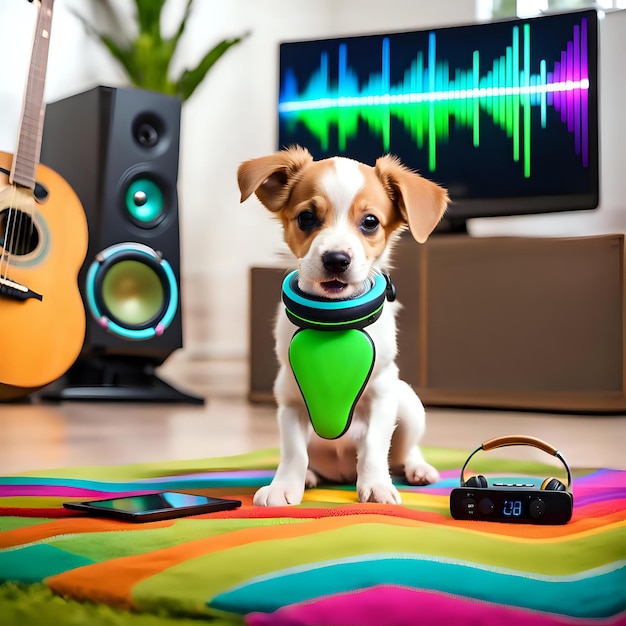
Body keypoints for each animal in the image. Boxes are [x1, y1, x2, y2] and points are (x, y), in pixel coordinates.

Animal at [236, 147, 446, 508]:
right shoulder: (289, 401)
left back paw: (418, 469)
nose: (336, 259)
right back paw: (309, 477)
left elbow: (374, 448)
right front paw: (284, 486)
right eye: (307, 218)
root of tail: (342, 474)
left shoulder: (382, 397)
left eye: (370, 222)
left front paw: (376, 486)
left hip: (408, 405)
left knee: (405, 452)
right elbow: (293, 452)